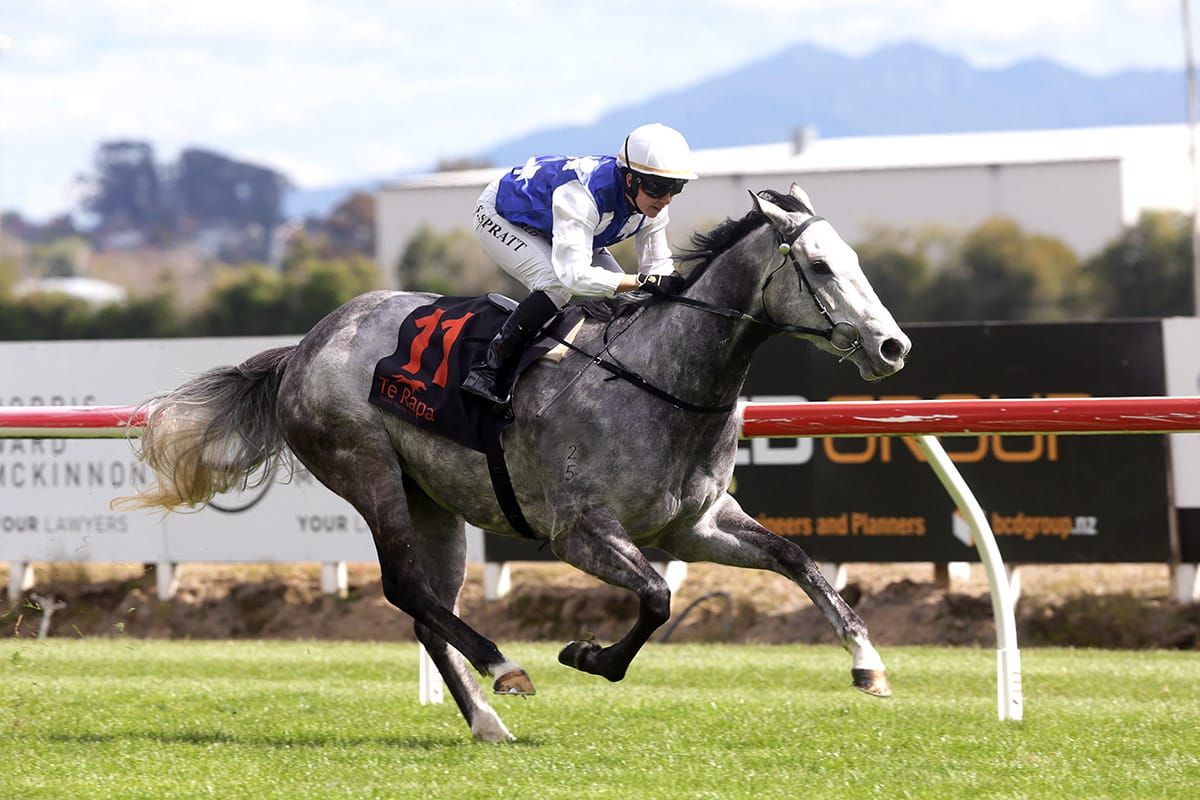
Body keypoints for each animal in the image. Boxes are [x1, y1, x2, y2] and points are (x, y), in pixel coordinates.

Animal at [118, 184, 911, 742]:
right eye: (818, 266)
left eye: (855, 261)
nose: (892, 347)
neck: (659, 380)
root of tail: (306, 346)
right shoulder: (578, 532)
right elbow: (658, 597)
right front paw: (589, 657)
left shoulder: (697, 526)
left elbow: (799, 558)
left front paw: (867, 664)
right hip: (367, 470)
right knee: (406, 588)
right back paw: (506, 670)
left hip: (433, 502)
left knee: (426, 611)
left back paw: (487, 723)